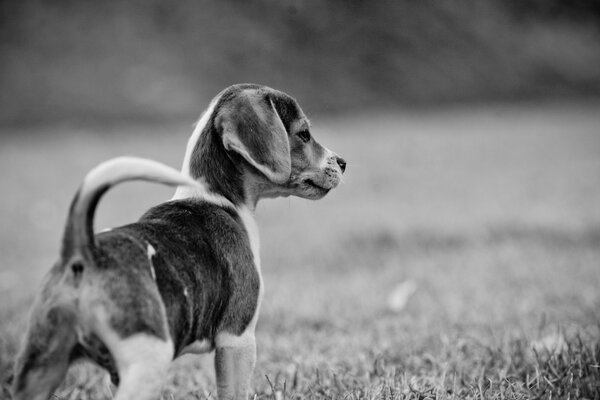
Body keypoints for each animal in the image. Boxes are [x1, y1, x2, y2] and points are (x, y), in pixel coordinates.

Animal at [10, 84, 346, 400]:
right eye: (304, 134)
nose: (343, 163)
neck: (212, 194)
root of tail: (83, 252)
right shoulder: (237, 338)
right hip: (148, 359)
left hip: (40, 367)